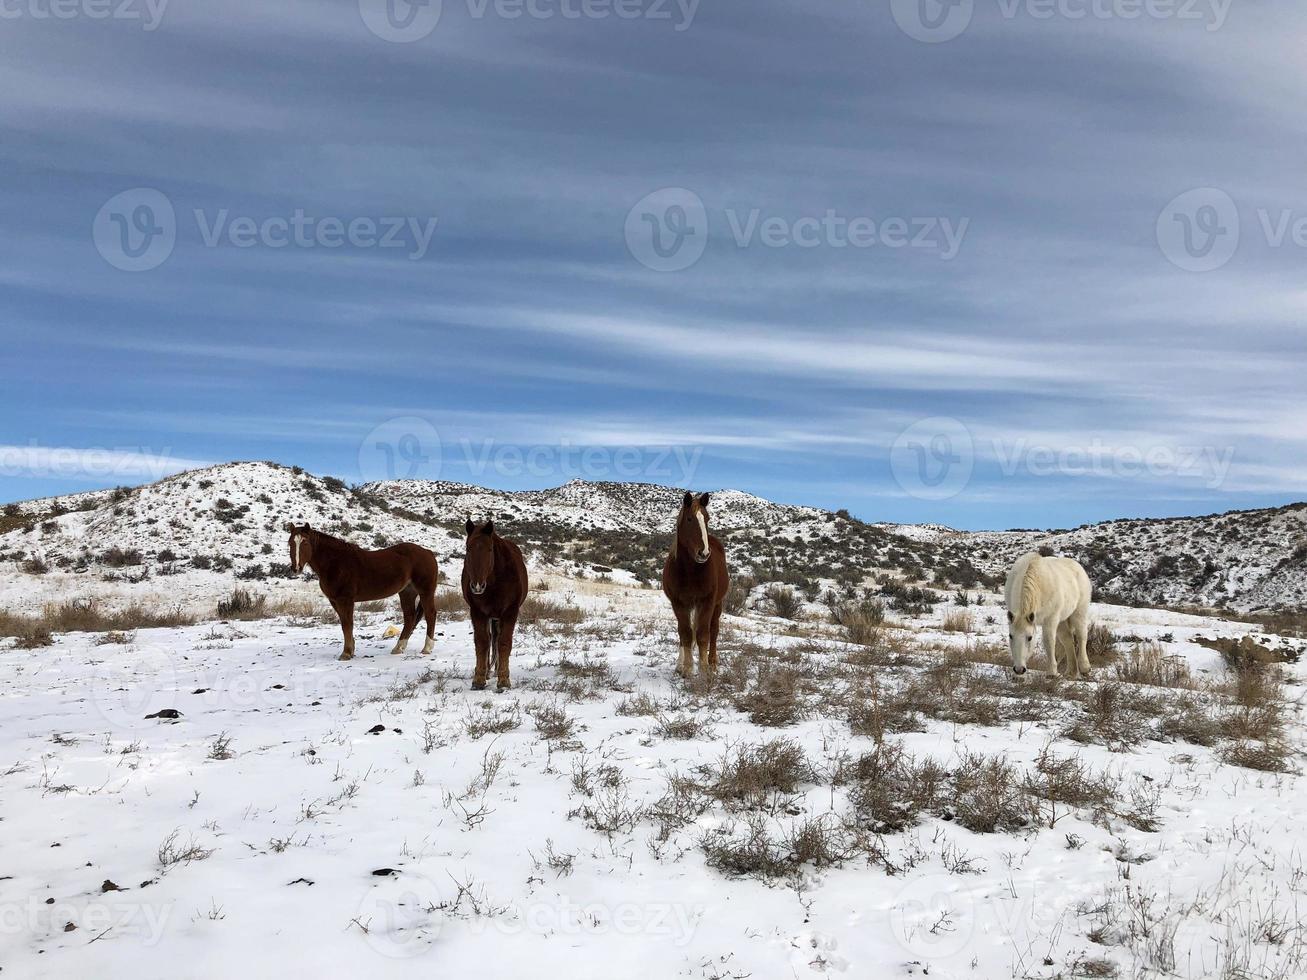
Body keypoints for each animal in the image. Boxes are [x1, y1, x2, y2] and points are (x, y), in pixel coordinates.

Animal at [284, 525, 439, 663]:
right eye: (290, 542)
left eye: (305, 542)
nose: (296, 568)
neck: (335, 563)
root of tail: (428, 552)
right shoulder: (334, 601)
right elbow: (344, 624)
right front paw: (351, 650)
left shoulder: (345, 600)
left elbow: (347, 625)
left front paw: (346, 653)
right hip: (407, 592)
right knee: (409, 618)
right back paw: (398, 648)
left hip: (425, 591)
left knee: (430, 614)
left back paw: (427, 648)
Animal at [462, 522, 528, 689]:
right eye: (468, 548)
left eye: (490, 549)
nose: (477, 586)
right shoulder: (477, 612)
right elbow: (482, 642)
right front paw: (479, 679)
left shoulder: (510, 612)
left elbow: (504, 642)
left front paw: (504, 680)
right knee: (490, 638)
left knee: (497, 639)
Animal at [663, 493, 726, 679]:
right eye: (689, 519)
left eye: (707, 519)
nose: (703, 553)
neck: (690, 571)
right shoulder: (678, 603)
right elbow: (685, 633)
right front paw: (687, 668)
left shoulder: (707, 602)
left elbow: (703, 635)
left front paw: (704, 671)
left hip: (717, 604)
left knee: (714, 631)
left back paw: (712, 663)